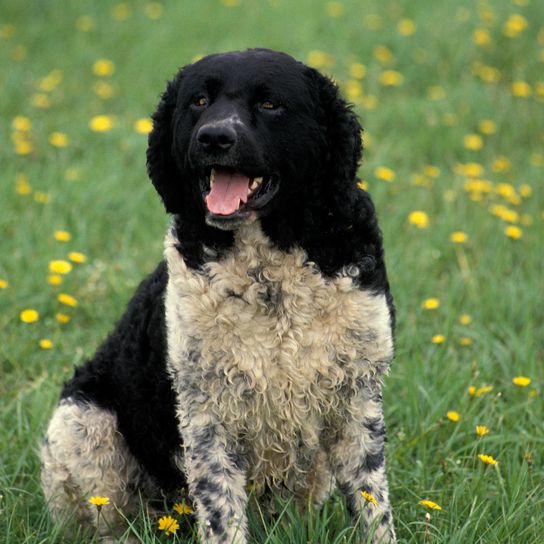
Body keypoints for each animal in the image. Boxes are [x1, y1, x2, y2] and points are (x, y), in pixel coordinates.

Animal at [39, 49, 396, 540]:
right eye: (199, 101)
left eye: (270, 104)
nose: (214, 137)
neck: (270, 281)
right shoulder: (208, 413)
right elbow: (221, 512)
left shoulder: (357, 402)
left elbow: (374, 510)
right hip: (83, 421)